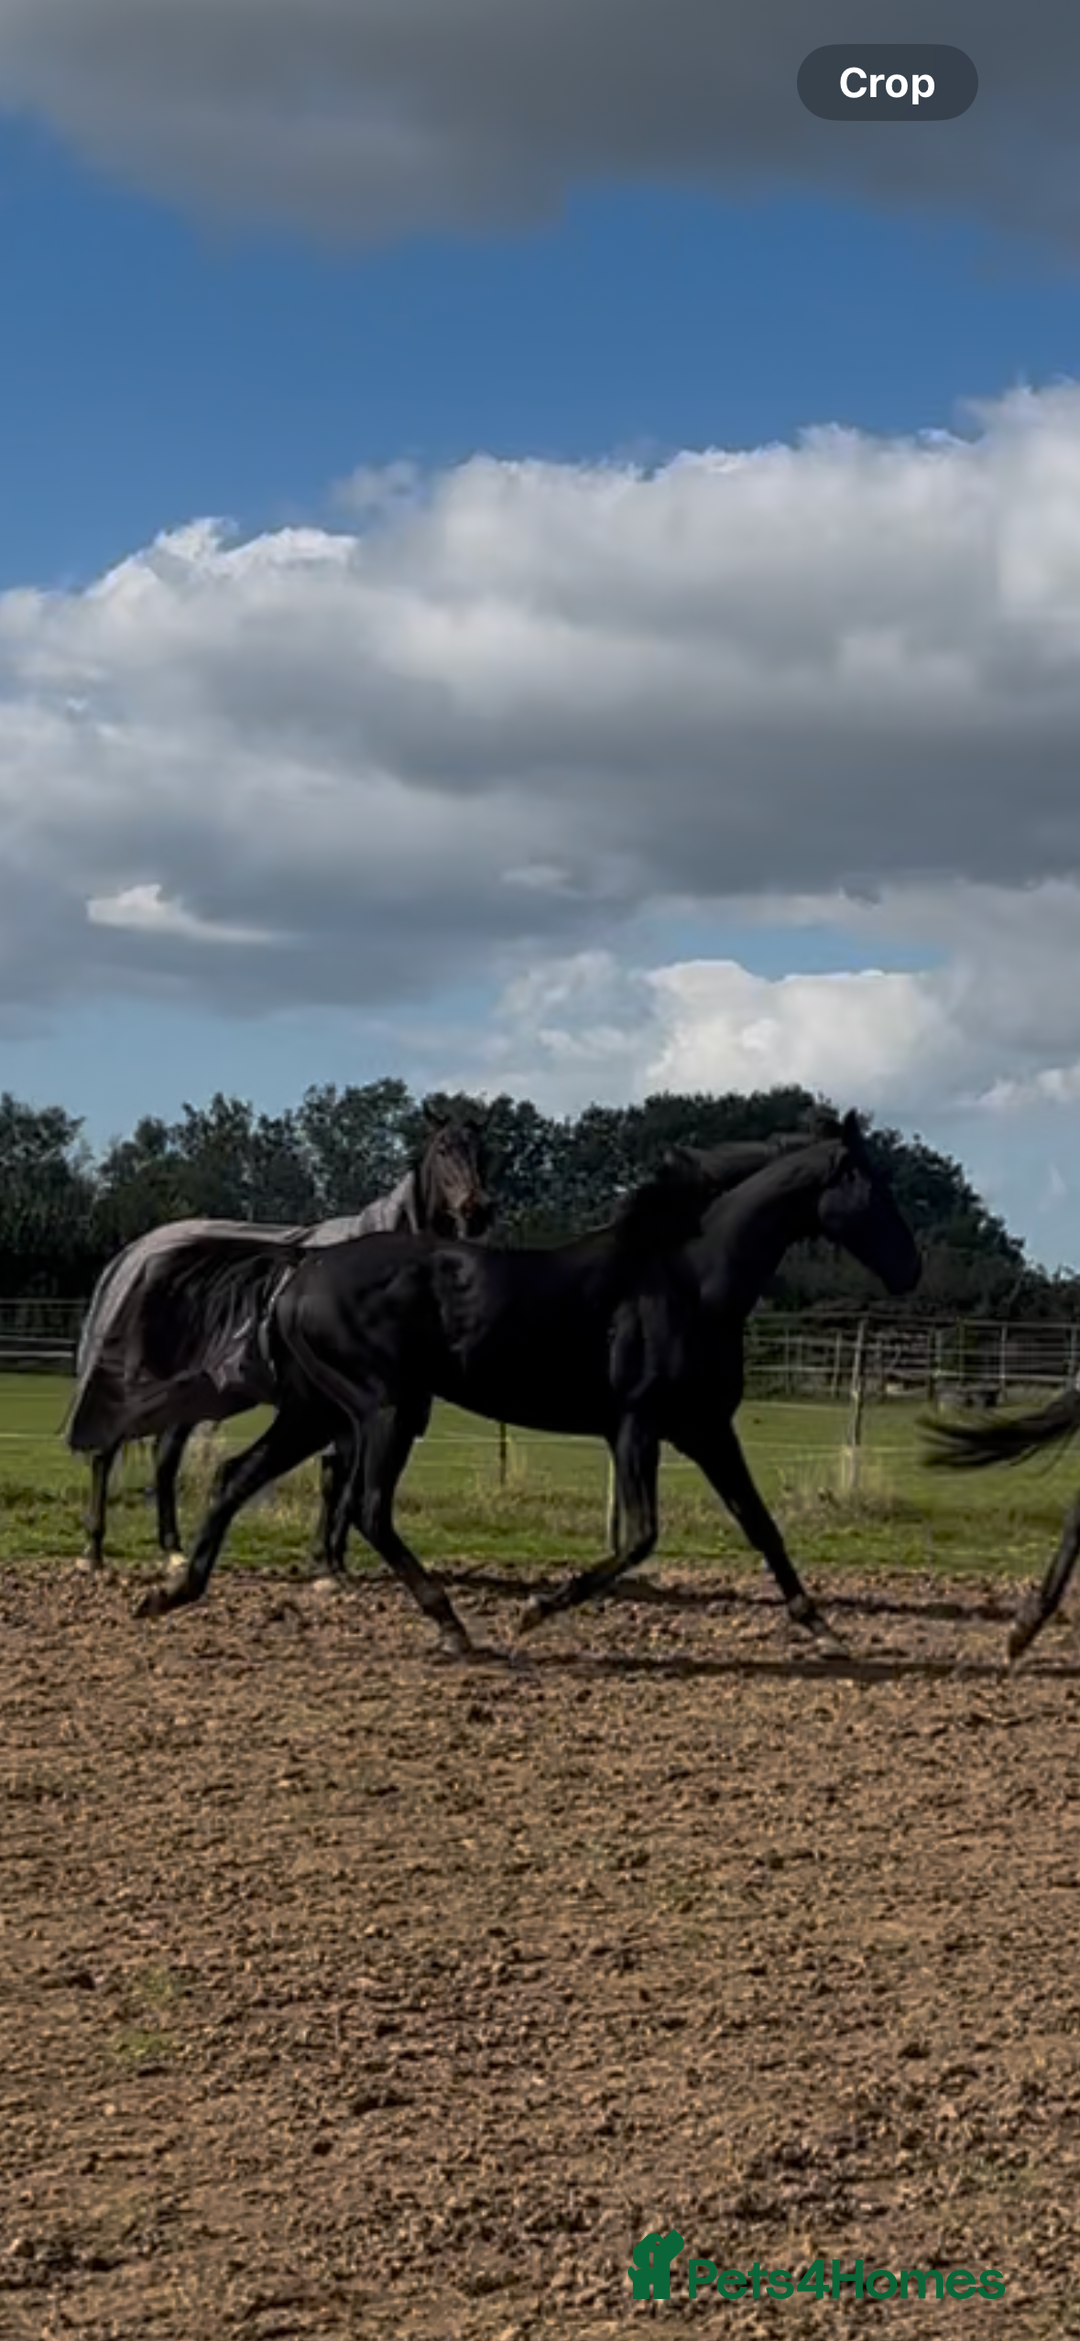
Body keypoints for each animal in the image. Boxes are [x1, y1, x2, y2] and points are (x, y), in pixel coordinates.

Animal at [67, 1107, 493, 1574]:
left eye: (484, 1151)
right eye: (443, 1149)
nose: (477, 1210)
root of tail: (136, 1251)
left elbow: (347, 1482)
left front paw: (333, 1560)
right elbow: (336, 1479)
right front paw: (325, 1561)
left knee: (165, 1455)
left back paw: (173, 1550)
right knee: (107, 1449)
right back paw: (93, 1552)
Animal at [127, 1110, 921, 1658]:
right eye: (873, 1186)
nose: (911, 1270)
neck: (690, 1281)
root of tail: (301, 1270)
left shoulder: (705, 1427)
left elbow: (760, 1522)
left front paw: (821, 1626)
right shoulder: (637, 1426)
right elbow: (641, 1536)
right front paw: (537, 1608)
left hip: (316, 1408)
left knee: (236, 1476)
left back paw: (173, 1590)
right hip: (383, 1407)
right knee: (367, 1507)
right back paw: (451, 1623)